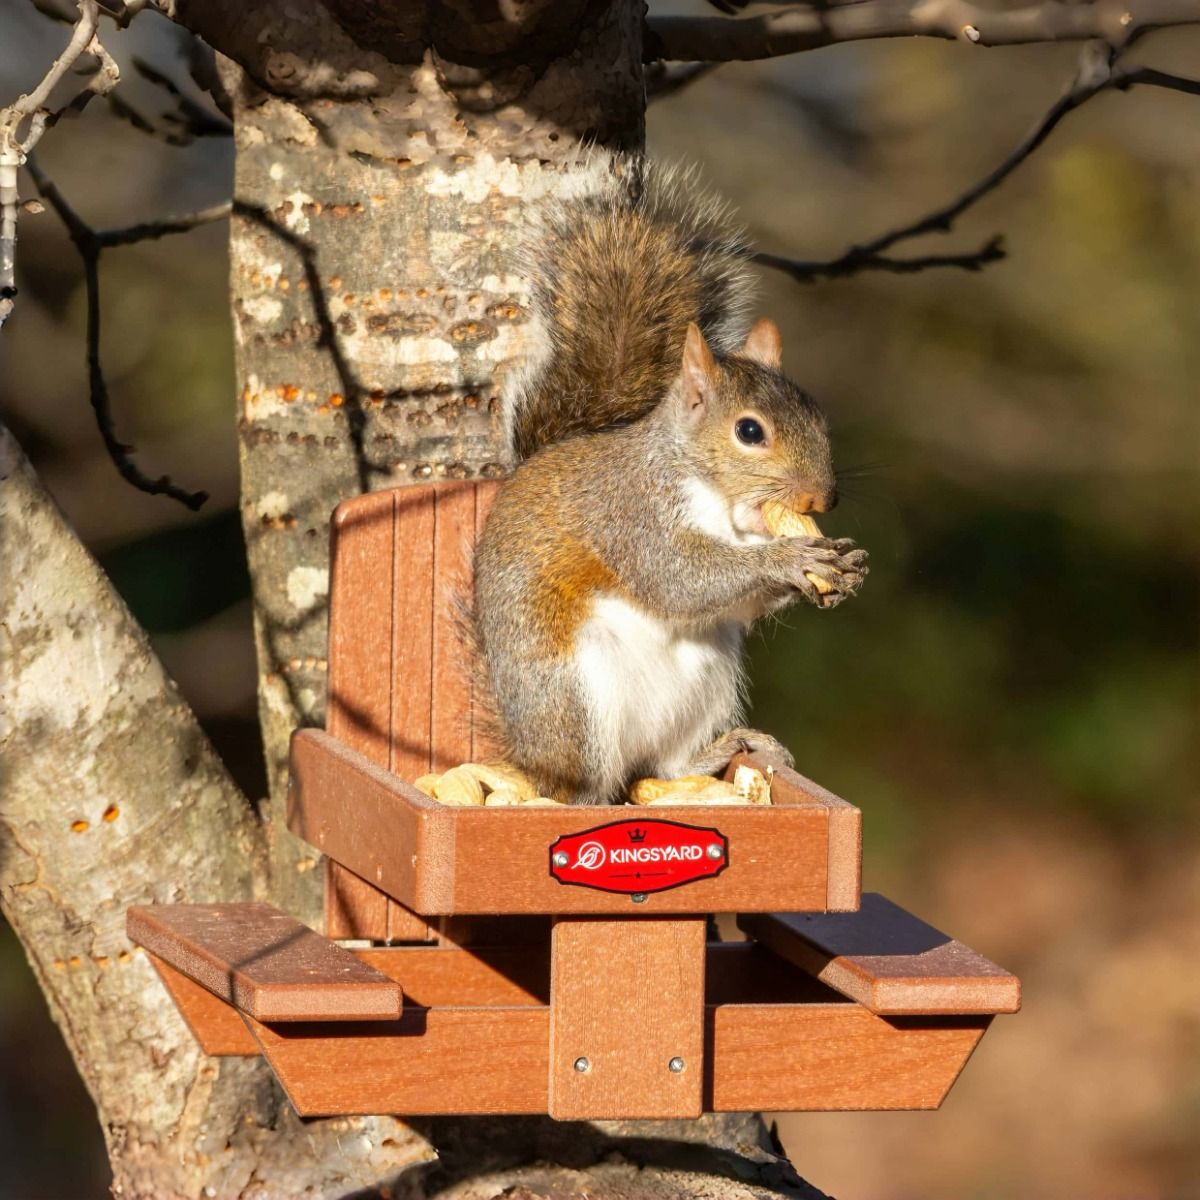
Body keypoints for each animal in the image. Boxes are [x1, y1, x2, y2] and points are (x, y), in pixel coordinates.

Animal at [471, 159, 867, 806]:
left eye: (818, 416)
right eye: (750, 431)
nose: (822, 498)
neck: (720, 505)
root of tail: (526, 751)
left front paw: (845, 565)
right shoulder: (630, 511)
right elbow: (675, 576)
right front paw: (789, 558)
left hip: (708, 680)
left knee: (668, 763)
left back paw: (728, 748)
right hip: (574, 703)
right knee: (585, 784)